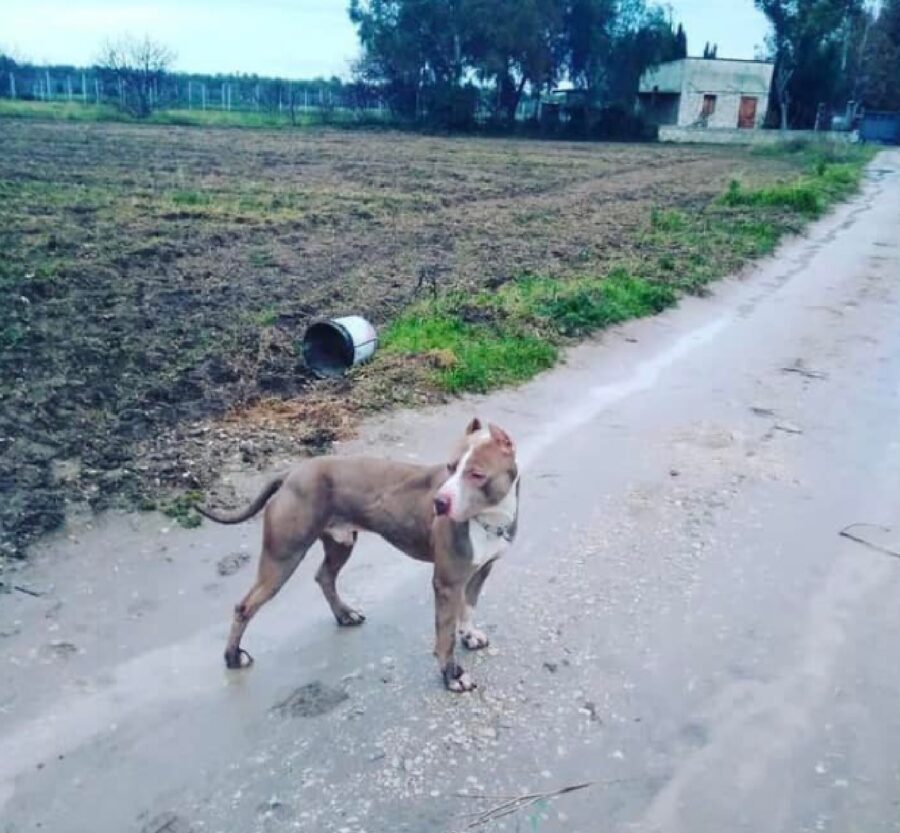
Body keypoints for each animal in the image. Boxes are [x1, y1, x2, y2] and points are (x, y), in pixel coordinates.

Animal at [199, 420, 520, 692]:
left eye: (476, 474)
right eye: (450, 467)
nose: (438, 503)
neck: (489, 517)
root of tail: (290, 474)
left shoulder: (480, 571)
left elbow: (469, 607)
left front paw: (469, 635)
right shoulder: (447, 583)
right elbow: (445, 634)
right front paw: (452, 675)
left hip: (340, 543)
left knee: (324, 576)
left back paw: (344, 614)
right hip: (282, 558)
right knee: (244, 607)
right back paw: (233, 657)